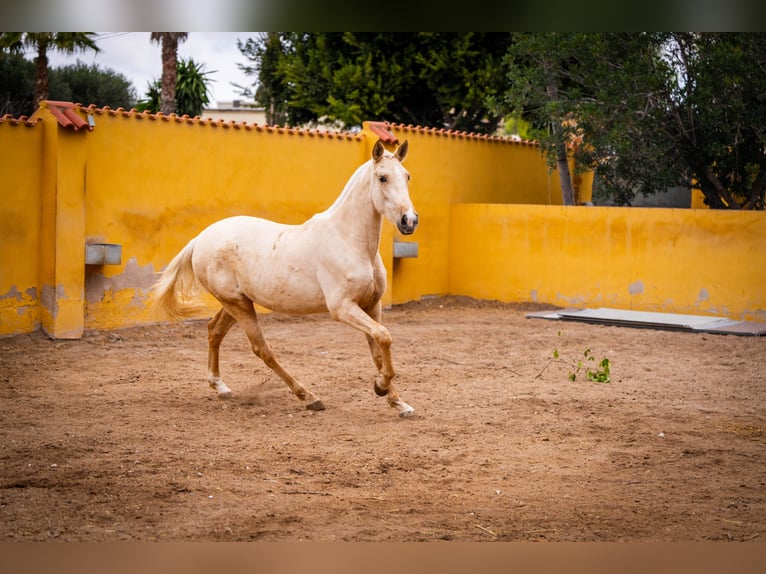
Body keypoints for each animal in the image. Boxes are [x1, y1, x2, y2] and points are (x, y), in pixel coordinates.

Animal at [150, 140, 420, 418]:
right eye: (382, 177)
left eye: (407, 176)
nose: (409, 221)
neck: (348, 240)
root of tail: (201, 238)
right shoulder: (342, 308)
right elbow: (385, 337)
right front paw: (381, 387)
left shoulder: (371, 306)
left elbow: (379, 349)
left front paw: (398, 403)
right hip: (238, 304)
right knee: (262, 349)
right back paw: (309, 397)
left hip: (237, 302)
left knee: (215, 331)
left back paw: (221, 387)